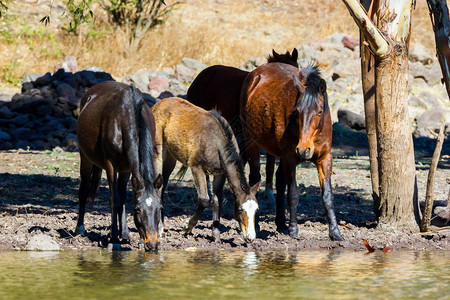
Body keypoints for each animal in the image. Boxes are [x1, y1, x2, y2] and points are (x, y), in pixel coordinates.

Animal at [152, 97, 260, 243]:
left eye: (256, 210)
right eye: (239, 210)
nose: (251, 237)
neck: (216, 143)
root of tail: (158, 103)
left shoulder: (220, 174)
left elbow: (217, 200)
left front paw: (216, 236)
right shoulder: (196, 167)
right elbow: (204, 199)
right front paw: (187, 228)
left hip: (170, 157)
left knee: (163, 184)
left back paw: (162, 224)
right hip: (158, 150)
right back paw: (159, 228)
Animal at [241, 63, 342, 241]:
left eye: (319, 111)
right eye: (297, 112)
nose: (303, 149)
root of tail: (255, 74)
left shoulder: (325, 158)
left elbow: (328, 196)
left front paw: (335, 232)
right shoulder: (290, 157)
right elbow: (293, 194)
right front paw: (294, 230)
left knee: (280, 180)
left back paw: (281, 223)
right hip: (252, 142)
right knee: (255, 178)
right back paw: (258, 224)